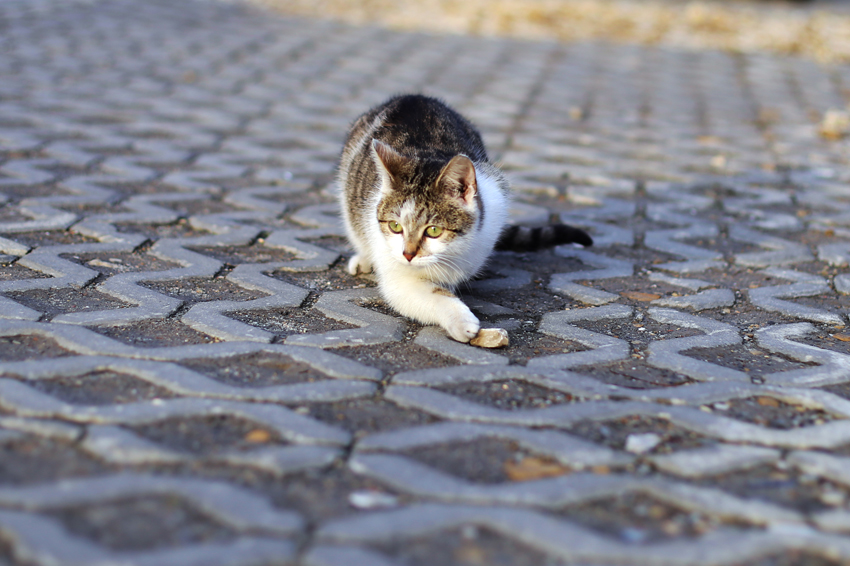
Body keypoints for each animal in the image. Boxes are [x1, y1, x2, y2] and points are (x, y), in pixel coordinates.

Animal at [338, 94, 592, 343]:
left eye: (433, 230)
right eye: (395, 226)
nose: (407, 254)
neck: (452, 255)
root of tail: (413, 96)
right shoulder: (396, 270)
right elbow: (427, 293)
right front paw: (460, 321)